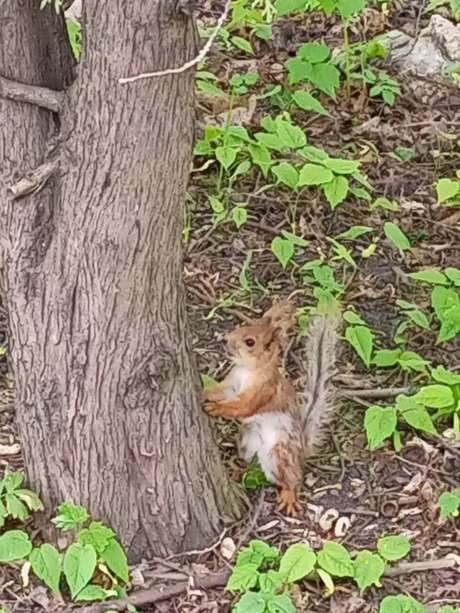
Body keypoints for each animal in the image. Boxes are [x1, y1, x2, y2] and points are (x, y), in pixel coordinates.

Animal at [203, 300, 338, 516]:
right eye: (242, 326)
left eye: (250, 342)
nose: (226, 341)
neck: (249, 370)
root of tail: (301, 453)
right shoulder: (232, 384)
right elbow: (218, 391)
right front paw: (203, 392)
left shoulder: (262, 392)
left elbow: (241, 406)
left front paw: (216, 408)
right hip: (246, 442)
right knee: (256, 466)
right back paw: (241, 470)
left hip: (281, 453)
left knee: (292, 479)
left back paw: (289, 496)